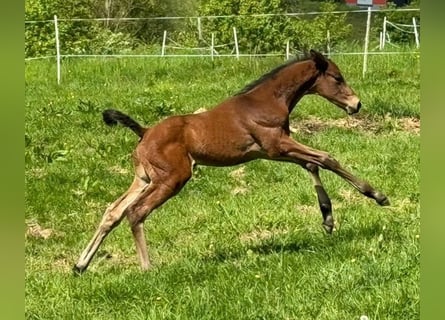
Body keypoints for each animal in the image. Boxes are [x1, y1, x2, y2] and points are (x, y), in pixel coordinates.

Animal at [73, 50, 388, 276]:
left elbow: (312, 165)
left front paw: (328, 219)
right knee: (136, 212)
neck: (265, 101)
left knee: (113, 212)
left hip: (144, 178)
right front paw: (377, 195)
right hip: (172, 178)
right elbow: (326, 158)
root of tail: (144, 132)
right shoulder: (277, 145)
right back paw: (148, 269)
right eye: (337, 77)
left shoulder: (273, 150)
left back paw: (80, 266)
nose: (356, 104)